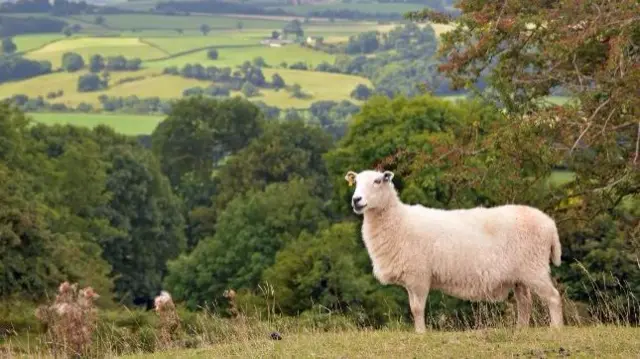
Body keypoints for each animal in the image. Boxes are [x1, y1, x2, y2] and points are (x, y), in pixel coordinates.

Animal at [344, 170, 564, 334]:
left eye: (377, 181)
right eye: (356, 182)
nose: (356, 200)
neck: (398, 221)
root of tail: (550, 225)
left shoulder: (419, 275)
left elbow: (417, 308)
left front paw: (421, 334)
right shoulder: (412, 278)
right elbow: (413, 307)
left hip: (534, 268)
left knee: (553, 297)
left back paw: (556, 328)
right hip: (520, 276)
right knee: (525, 303)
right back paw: (521, 330)